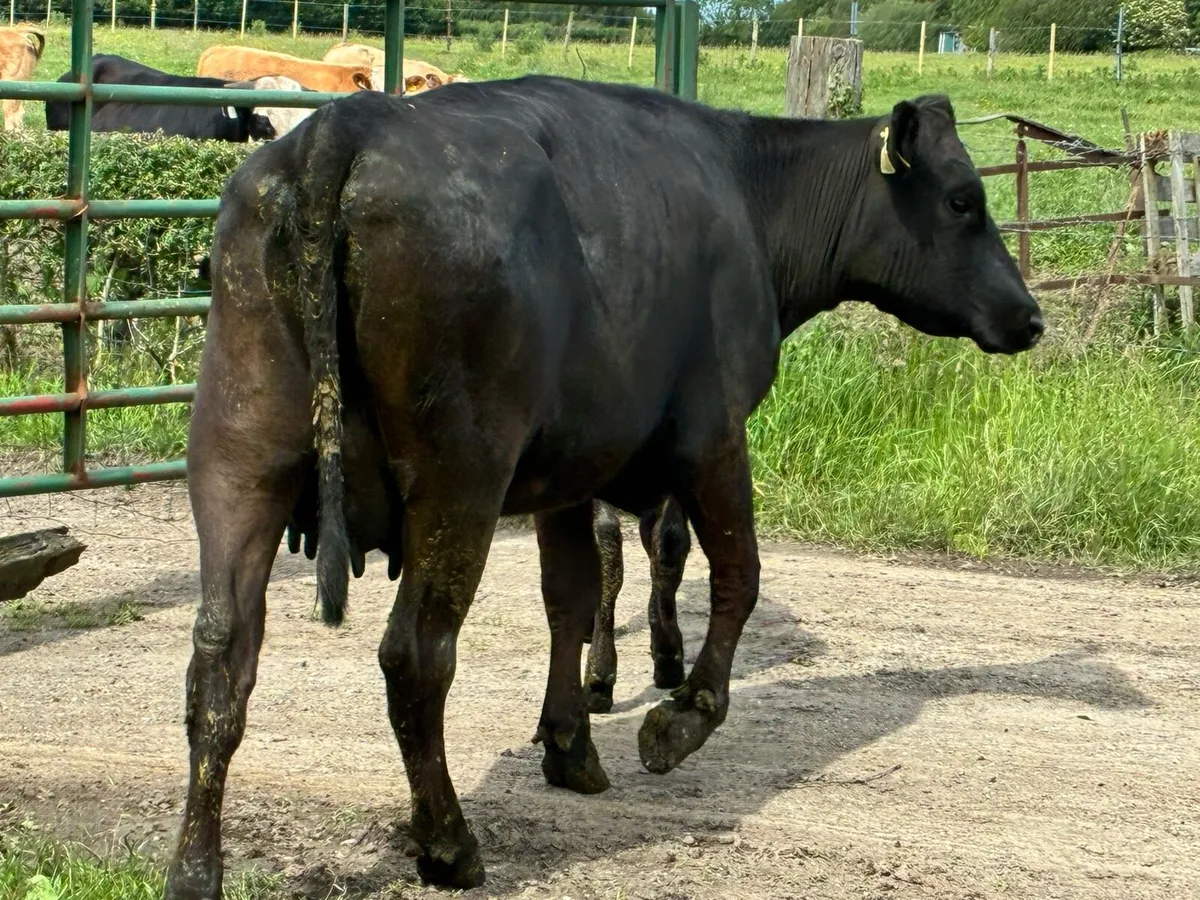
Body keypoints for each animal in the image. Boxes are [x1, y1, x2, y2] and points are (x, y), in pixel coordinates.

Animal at [163, 76, 1043, 898]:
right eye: (964, 200)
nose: (1030, 316)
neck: (746, 190)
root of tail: (347, 124)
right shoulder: (712, 433)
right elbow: (739, 576)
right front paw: (678, 722)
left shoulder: (567, 471)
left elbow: (573, 596)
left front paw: (570, 741)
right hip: (459, 478)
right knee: (415, 656)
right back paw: (449, 842)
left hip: (237, 462)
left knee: (219, 662)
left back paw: (195, 870)